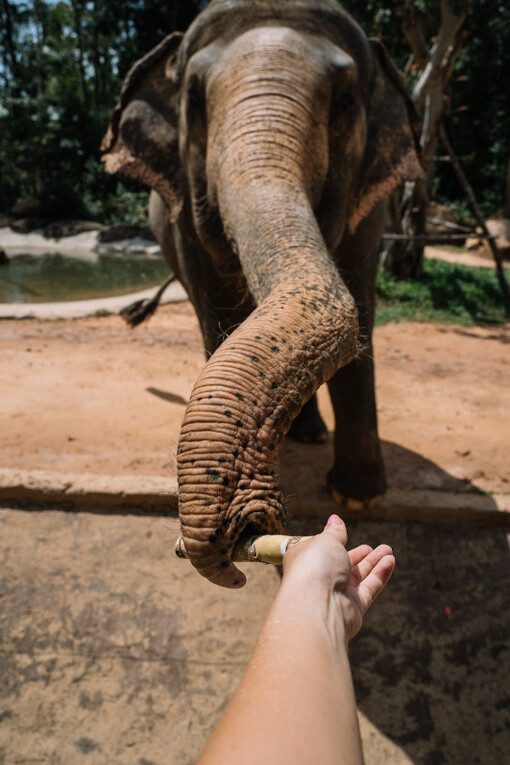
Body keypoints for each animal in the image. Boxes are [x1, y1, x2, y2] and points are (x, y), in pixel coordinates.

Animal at [102, 0, 424, 588]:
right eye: (194, 98)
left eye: (346, 101)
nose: (247, 524)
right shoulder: (184, 221)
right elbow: (220, 303)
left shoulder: (372, 209)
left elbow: (360, 307)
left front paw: (360, 497)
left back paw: (310, 437)